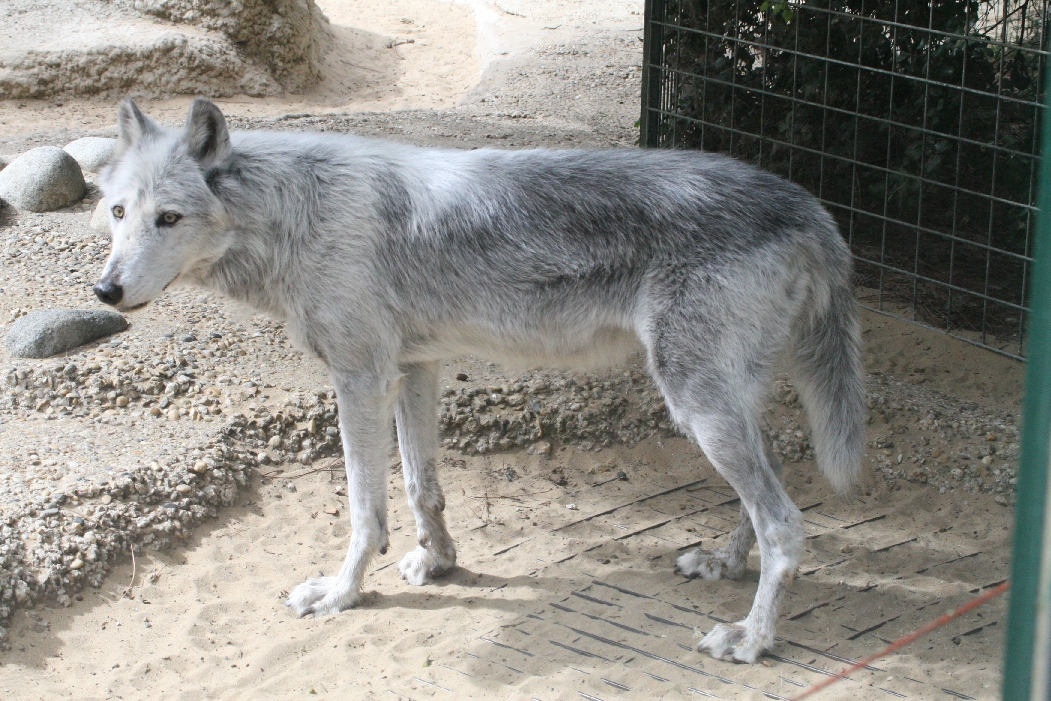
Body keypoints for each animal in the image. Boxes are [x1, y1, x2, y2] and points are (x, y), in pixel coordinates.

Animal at [94, 97, 866, 664]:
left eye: (169, 218)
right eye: (118, 212)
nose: (105, 290)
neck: (297, 210)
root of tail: (808, 206)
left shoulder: (360, 379)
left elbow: (364, 511)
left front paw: (342, 593)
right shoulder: (414, 368)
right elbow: (420, 486)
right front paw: (438, 563)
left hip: (698, 406)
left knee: (785, 523)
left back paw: (750, 640)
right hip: (724, 404)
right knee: (767, 497)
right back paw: (725, 567)